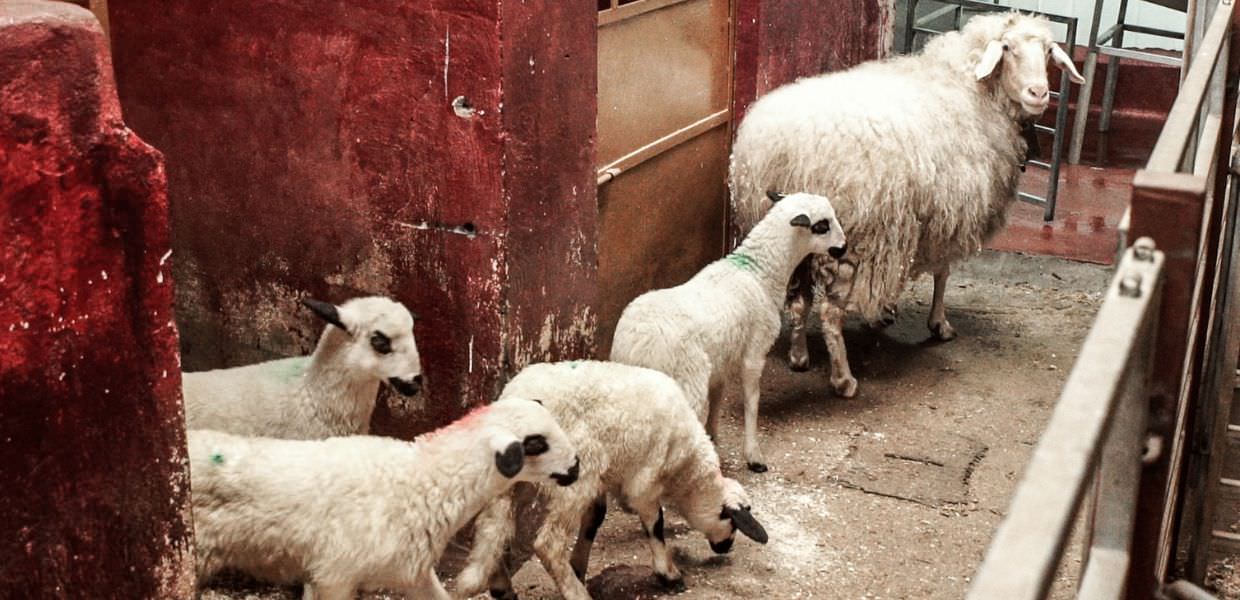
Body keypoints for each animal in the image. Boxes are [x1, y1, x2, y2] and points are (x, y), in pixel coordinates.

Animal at [454, 361, 769, 600]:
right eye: (733, 523)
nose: (725, 548)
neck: (689, 473)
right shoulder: (645, 481)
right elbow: (655, 524)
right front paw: (669, 574)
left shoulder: (604, 480)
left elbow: (595, 519)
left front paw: (578, 566)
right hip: (575, 473)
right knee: (548, 543)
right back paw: (576, 594)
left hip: (513, 481)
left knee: (493, 528)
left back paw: (501, 588)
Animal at [609, 192, 846, 472]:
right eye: (822, 225)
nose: (843, 247)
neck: (758, 273)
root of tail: (638, 345)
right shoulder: (754, 353)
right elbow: (752, 402)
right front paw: (753, 455)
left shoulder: (721, 362)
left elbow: (717, 399)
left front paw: (714, 436)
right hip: (686, 383)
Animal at [729, 12, 1085, 398]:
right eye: (1007, 47)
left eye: (1048, 50)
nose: (1039, 94)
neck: (971, 88)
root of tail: (785, 151)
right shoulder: (952, 211)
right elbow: (943, 271)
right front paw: (939, 324)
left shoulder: (929, 217)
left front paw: (888, 309)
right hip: (854, 239)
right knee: (830, 313)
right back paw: (844, 380)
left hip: (790, 237)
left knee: (797, 300)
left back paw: (799, 357)